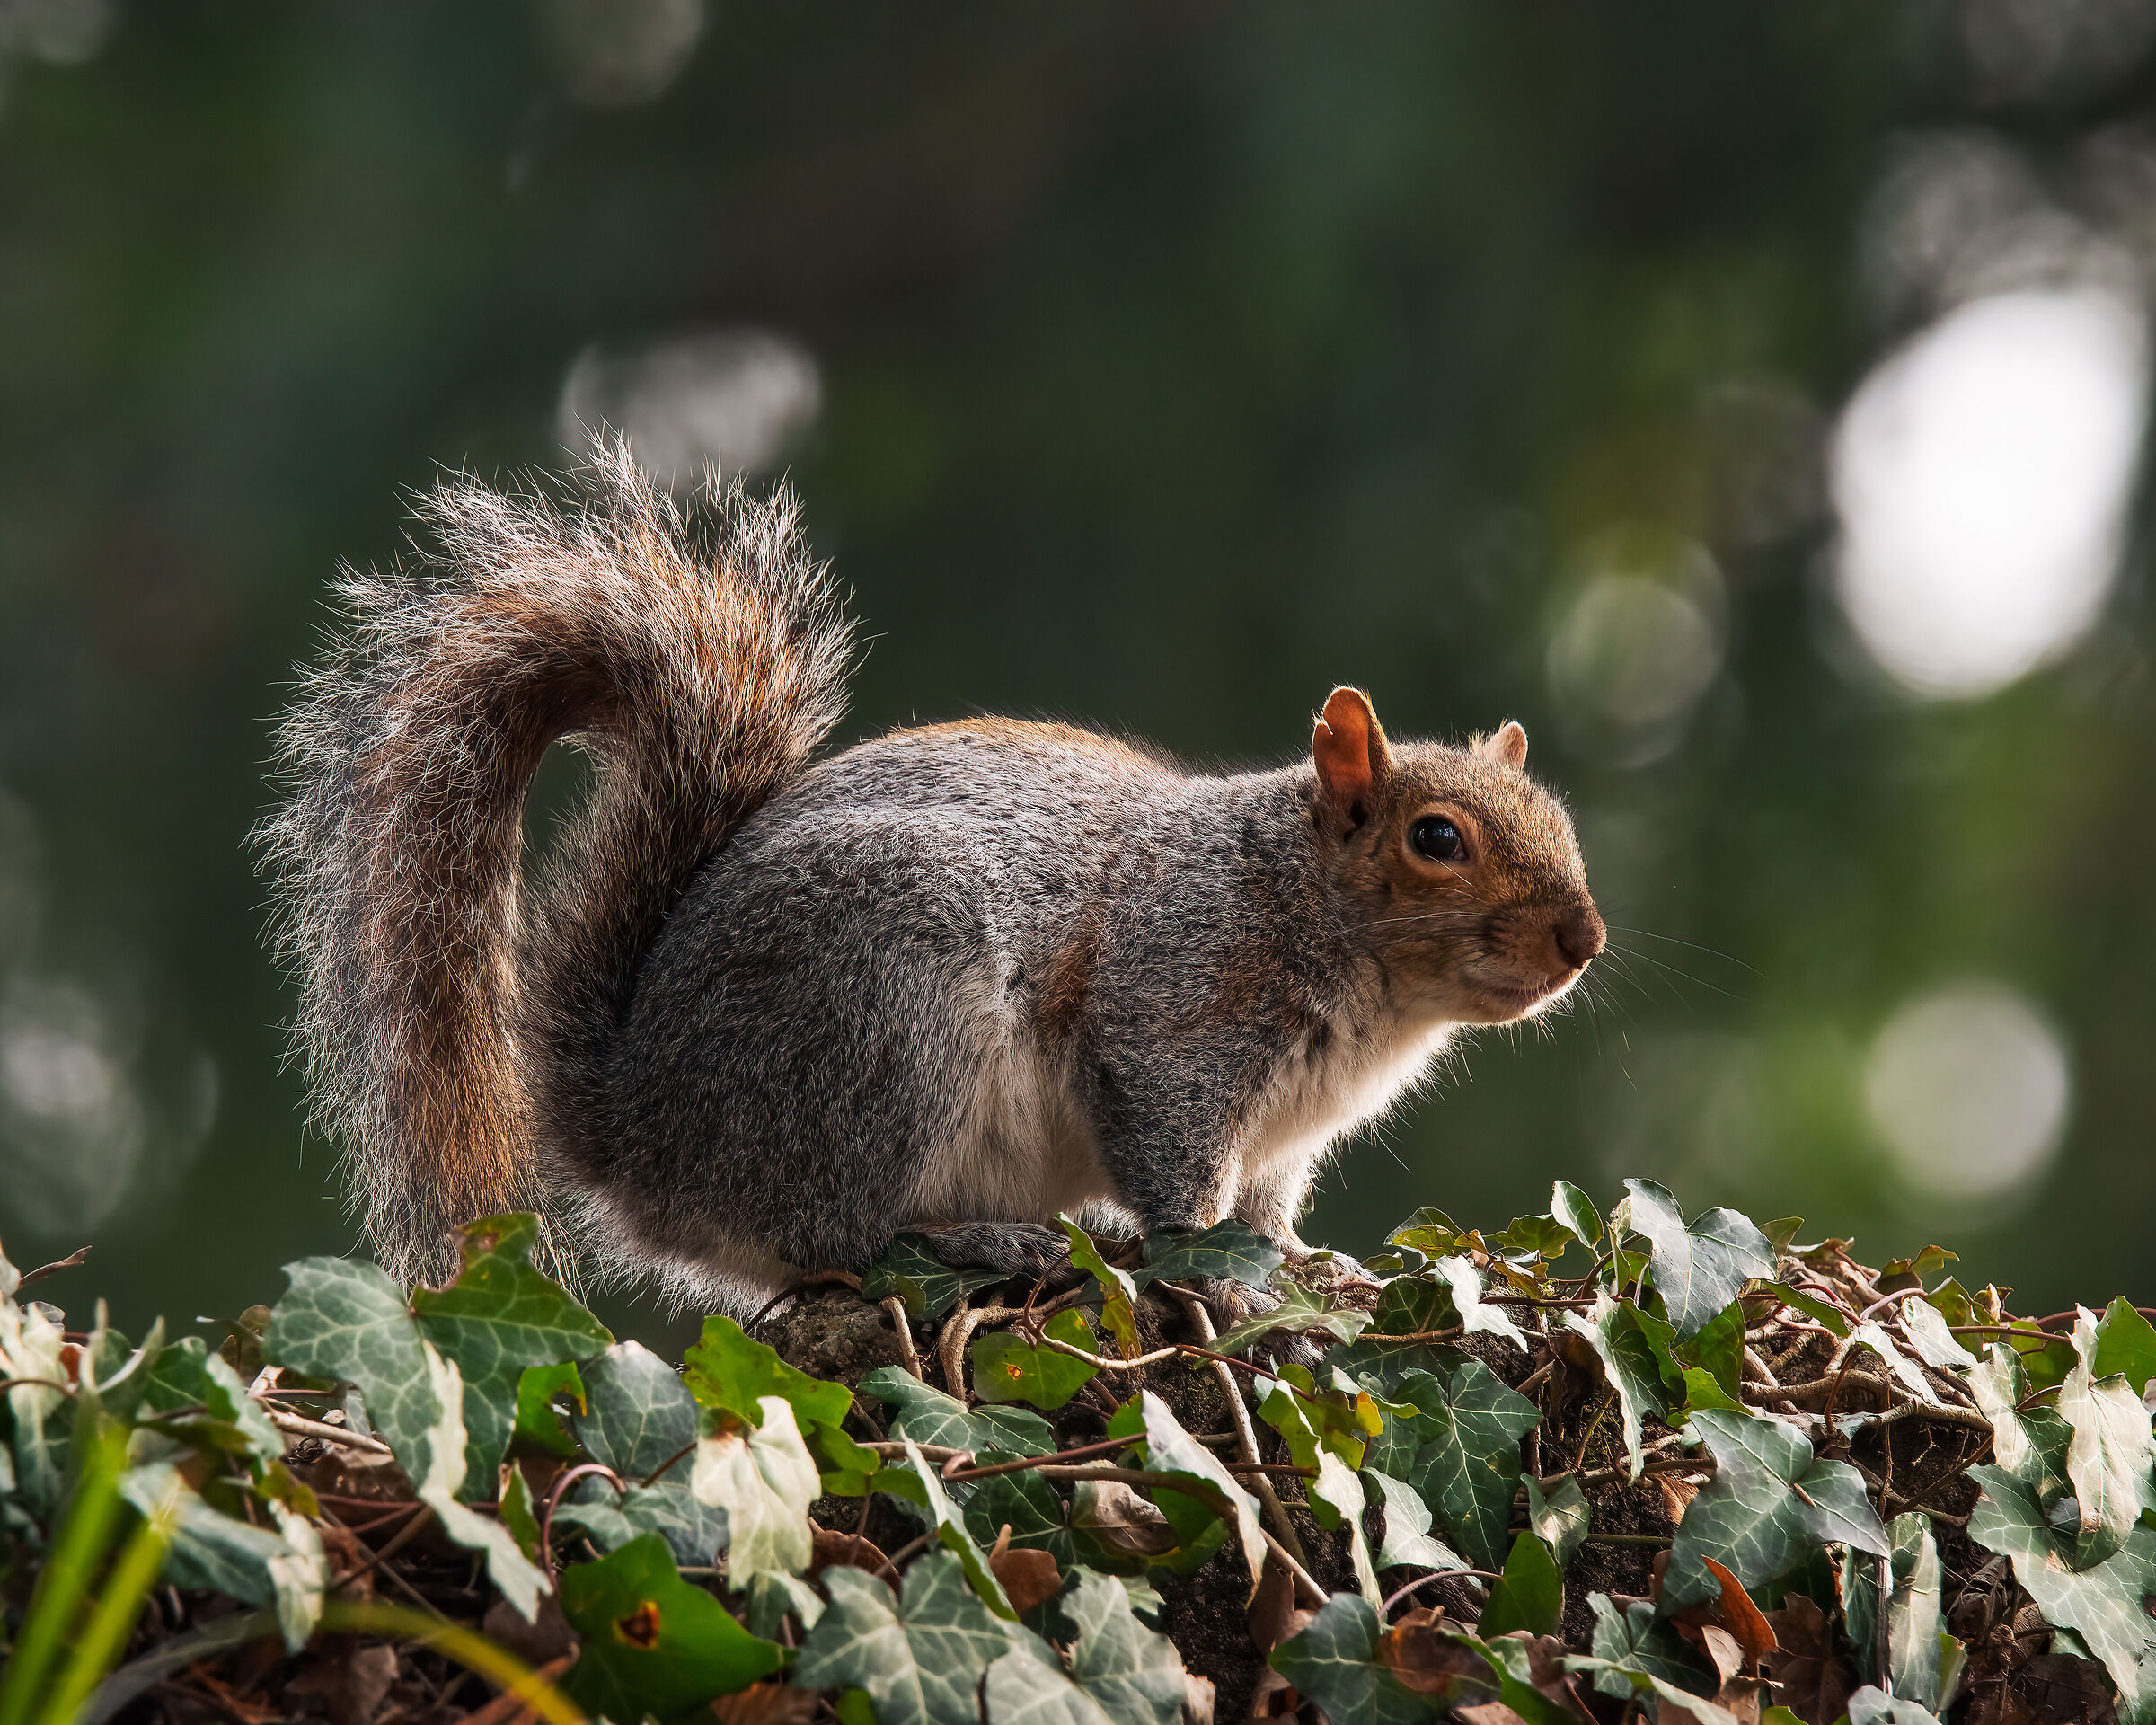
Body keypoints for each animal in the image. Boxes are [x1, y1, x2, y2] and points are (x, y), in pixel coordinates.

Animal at [261, 443, 1605, 1314]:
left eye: (1560, 819)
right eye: (1438, 840)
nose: (1582, 941)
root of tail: (640, 1136)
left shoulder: (1282, 1139)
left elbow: (1267, 1218)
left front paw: (1311, 1268)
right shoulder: (1174, 1007)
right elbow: (1176, 1172)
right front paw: (1217, 1273)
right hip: (885, 1009)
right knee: (837, 1238)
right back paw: (981, 1241)